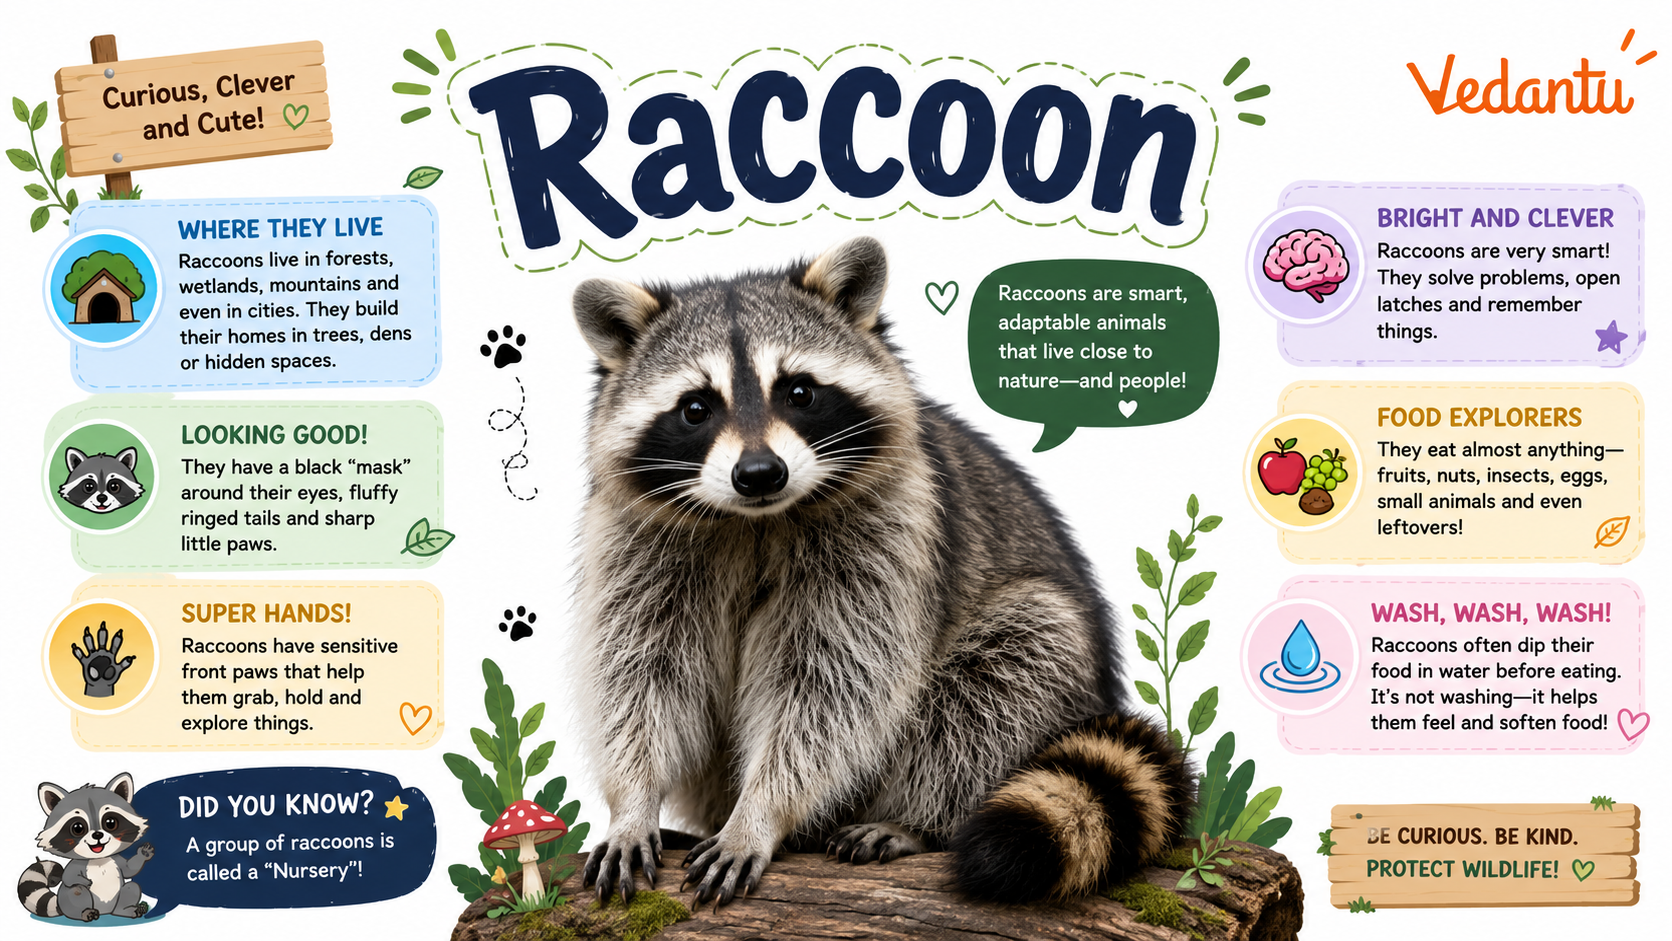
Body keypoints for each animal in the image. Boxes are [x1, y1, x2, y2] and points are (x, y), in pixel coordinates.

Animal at [16, 774, 153, 921]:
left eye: (110, 823)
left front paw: (142, 854)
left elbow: (129, 869)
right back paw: (85, 912)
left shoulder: (116, 859)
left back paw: (125, 910)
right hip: (68, 900)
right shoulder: (76, 865)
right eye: (78, 828)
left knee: (132, 887)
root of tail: (105, 911)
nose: (97, 835)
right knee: (77, 891)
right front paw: (85, 881)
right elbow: (68, 877)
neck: (98, 859)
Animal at [573, 237, 1191, 908]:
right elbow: (642, 675)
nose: (760, 473)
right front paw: (633, 803)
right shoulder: (639, 546)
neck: (756, 520)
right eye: (695, 409)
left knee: (1008, 668)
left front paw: (760, 813)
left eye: (798, 392)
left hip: (1046, 656)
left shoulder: (886, 541)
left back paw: (914, 820)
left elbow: (830, 688)